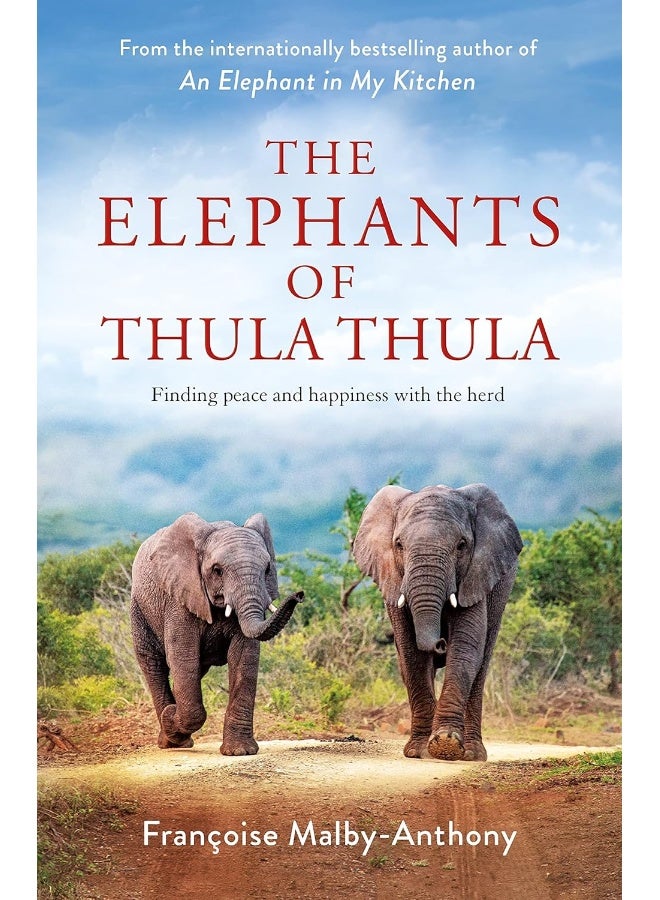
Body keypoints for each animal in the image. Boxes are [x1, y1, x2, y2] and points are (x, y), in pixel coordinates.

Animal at [130, 512, 303, 755]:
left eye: (267, 569)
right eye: (217, 570)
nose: (299, 594)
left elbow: (244, 658)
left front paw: (240, 752)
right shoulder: (179, 599)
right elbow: (183, 657)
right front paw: (170, 716)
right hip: (139, 610)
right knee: (154, 665)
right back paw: (171, 740)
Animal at [353, 483, 522, 762]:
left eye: (462, 545)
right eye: (399, 544)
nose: (441, 642)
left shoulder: (475, 575)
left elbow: (465, 647)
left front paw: (446, 745)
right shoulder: (393, 579)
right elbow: (410, 652)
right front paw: (419, 751)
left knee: (481, 664)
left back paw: (472, 754)